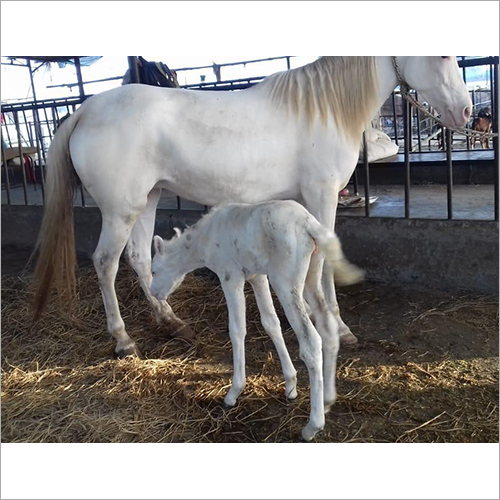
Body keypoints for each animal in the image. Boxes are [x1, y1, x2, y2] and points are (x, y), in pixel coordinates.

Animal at [151, 199, 352, 442]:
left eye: (154, 270)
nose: (154, 292)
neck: (204, 238)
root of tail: (310, 225)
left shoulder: (230, 275)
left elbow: (237, 329)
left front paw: (233, 392)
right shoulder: (257, 276)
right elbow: (271, 323)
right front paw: (291, 384)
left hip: (285, 280)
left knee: (311, 341)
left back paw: (312, 426)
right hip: (313, 273)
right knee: (328, 329)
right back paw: (328, 400)